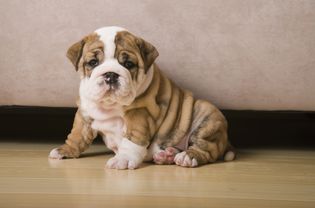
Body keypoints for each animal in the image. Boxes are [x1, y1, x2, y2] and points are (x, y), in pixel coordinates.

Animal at [49, 26, 236, 169]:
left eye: (128, 64)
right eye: (93, 63)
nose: (110, 74)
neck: (110, 105)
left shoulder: (139, 114)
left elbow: (132, 140)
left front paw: (123, 159)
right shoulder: (84, 112)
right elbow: (76, 135)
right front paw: (65, 150)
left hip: (207, 115)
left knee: (206, 149)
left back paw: (187, 157)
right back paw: (166, 155)